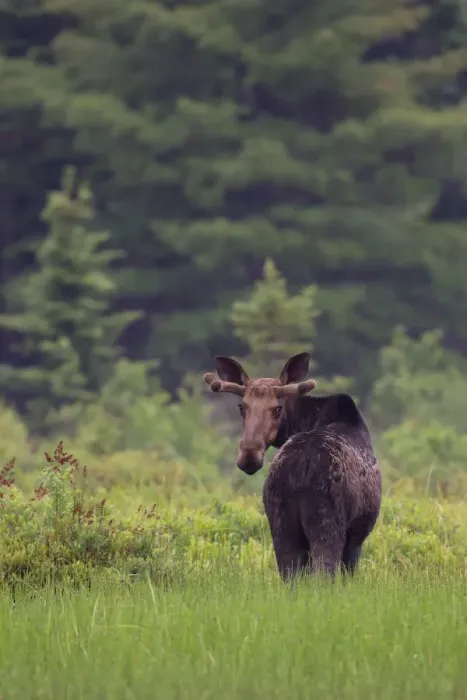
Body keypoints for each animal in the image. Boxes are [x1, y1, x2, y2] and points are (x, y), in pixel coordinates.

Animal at [203, 352, 382, 581]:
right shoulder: (356, 535)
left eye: (277, 408)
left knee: (290, 575)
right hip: (327, 524)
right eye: (242, 407)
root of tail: (298, 470)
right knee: (325, 573)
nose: (249, 455)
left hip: (281, 525)